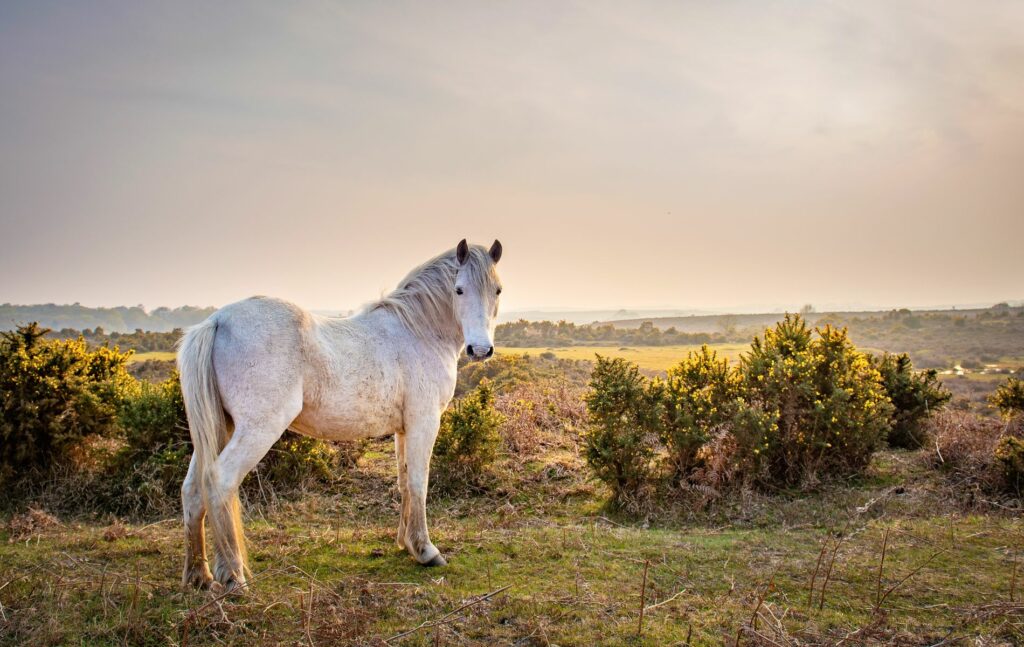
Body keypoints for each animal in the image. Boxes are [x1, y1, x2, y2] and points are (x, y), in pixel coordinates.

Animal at [177, 238, 503, 589]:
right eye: (459, 289)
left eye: (497, 290)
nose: (480, 350)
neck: (418, 331)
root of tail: (217, 320)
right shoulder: (424, 422)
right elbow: (419, 481)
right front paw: (426, 551)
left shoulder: (404, 429)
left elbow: (404, 481)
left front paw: (406, 544)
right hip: (257, 429)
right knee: (220, 481)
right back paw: (234, 577)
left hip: (219, 428)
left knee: (193, 491)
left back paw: (199, 575)